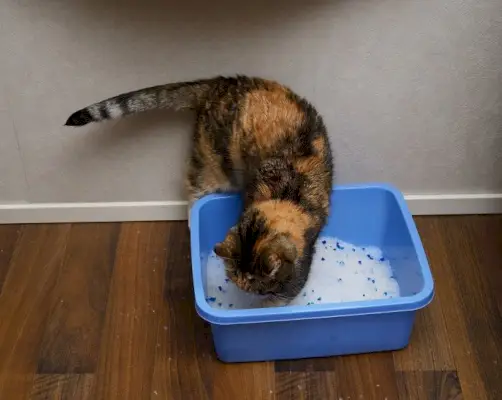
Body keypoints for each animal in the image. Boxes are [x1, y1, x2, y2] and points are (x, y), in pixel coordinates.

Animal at [65, 75, 334, 306]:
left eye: (258, 285)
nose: (251, 294)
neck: (284, 195)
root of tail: (220, 83)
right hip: (214, 164)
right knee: (191, 186)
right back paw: (192, 220)